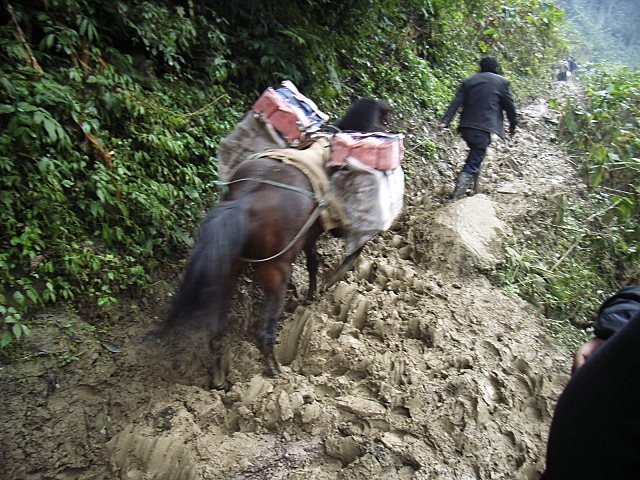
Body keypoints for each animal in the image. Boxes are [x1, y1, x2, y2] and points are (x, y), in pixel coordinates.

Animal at [164, 98, 389, 380]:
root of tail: (243, 200)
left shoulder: (310, 235)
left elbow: (313, 262)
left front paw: (312, 293)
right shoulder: (329, 228)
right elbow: (339, 253)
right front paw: (326, 285)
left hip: (229, 270)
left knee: (216, 332)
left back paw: (219, 378)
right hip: (276, 271)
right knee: (264, 333)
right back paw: (275, 370)